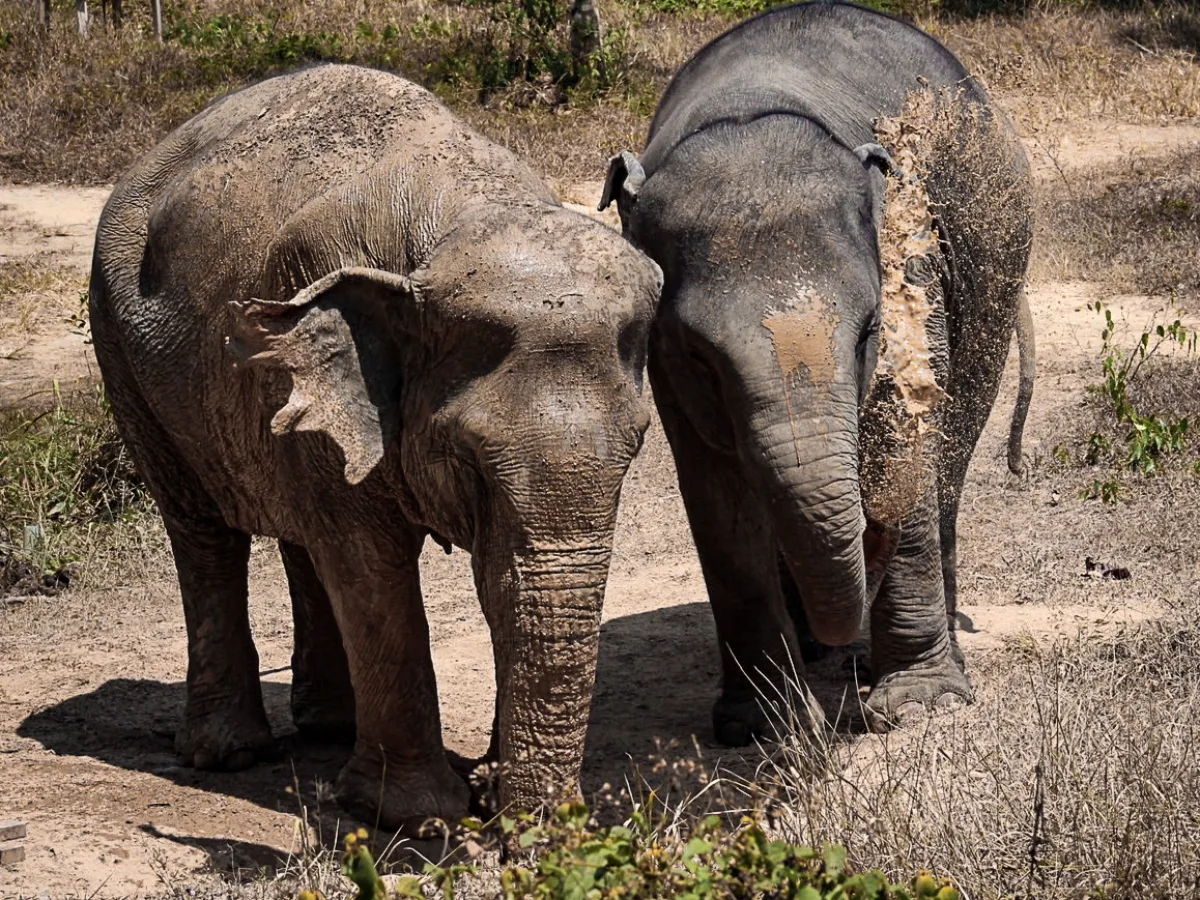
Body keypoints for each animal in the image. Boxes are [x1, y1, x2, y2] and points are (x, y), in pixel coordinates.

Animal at [88, 64, 663, 829]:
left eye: (637, 446)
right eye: (471, 460)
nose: (514, 819)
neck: (454, 225)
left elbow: (488, 577)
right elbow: (372, 563)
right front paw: (417, 815)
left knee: (300, 530)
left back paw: (329, 728)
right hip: (123, 354)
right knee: (205, 534)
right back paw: (231, 754)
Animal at [599, 0, 1034, 739]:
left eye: (869, 332)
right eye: (699, 355)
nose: (870, 531)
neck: (750, 114)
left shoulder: (911, 272)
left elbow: (903, 436)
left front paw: (920, 706)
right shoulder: (665, 369)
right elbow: (716, 496)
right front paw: (762, 725)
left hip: (996, 269)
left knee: (952, 450)